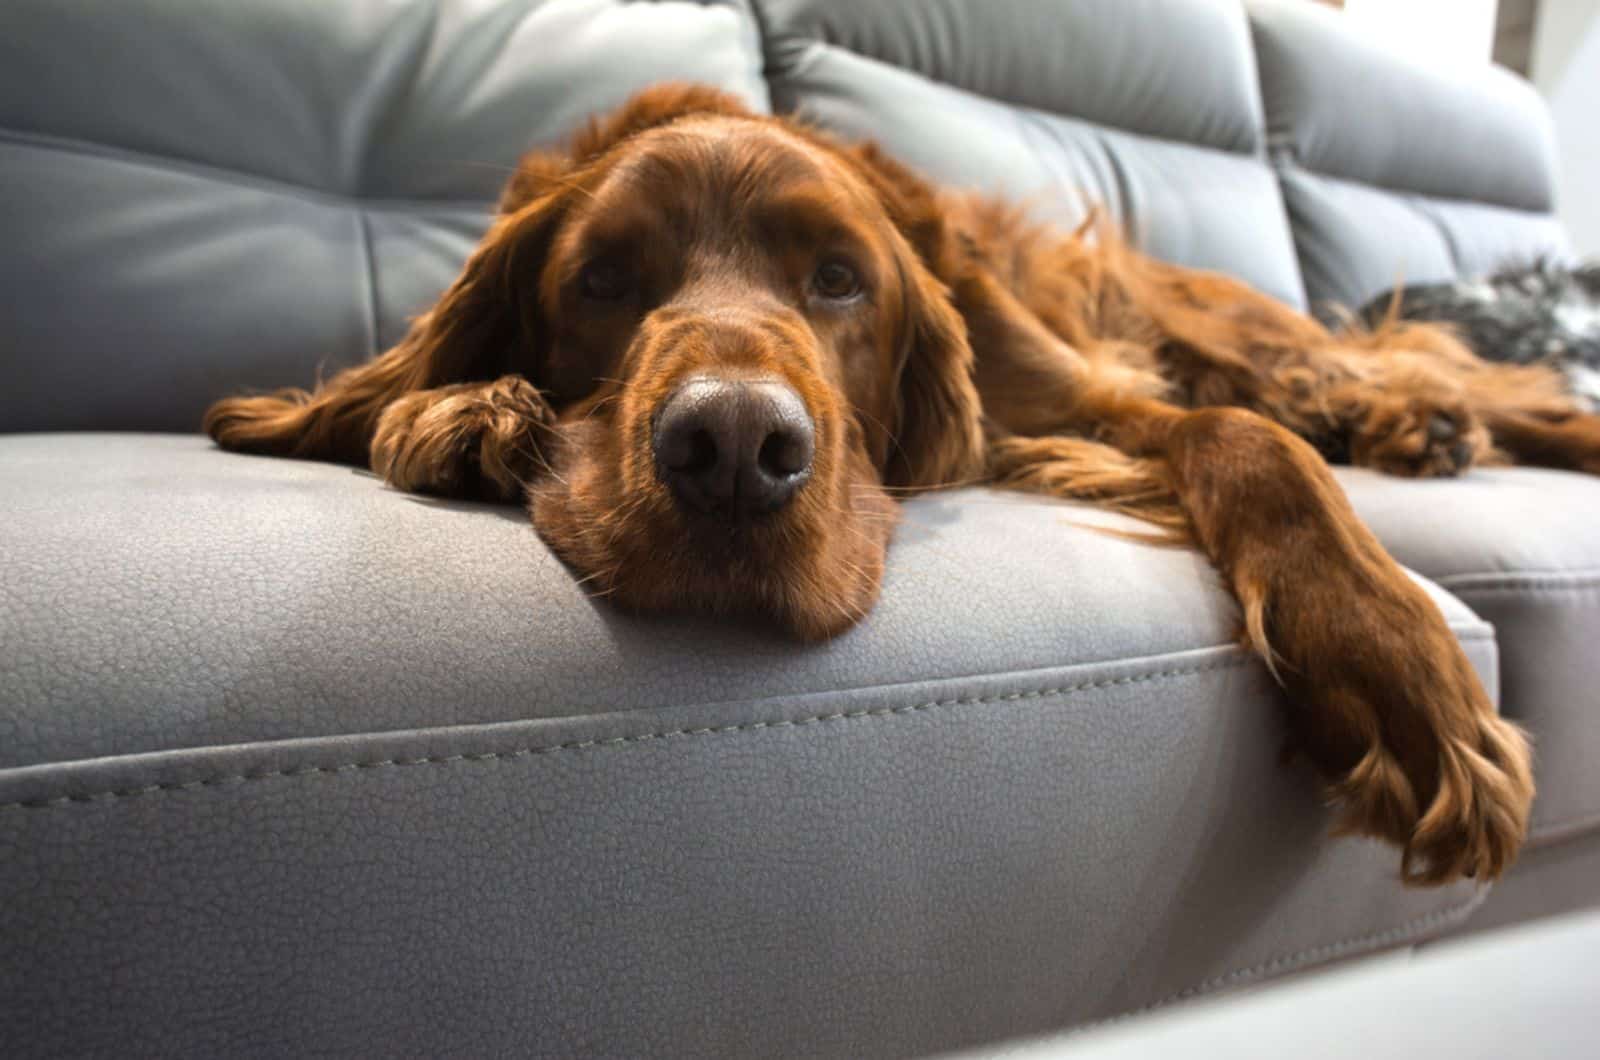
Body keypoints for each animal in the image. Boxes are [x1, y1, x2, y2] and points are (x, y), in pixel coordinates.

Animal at [206, 85, 1600, 890]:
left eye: (839, 279)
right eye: (601, 281)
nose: (732, 452)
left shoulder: (1081, 399)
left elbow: (1247, 441)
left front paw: (1399, 677)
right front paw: (465, 411)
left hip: (1222, 329)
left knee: (1391, 383)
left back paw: (1433, 420)